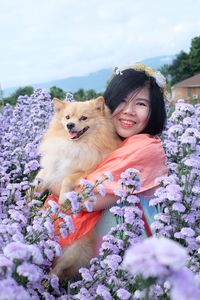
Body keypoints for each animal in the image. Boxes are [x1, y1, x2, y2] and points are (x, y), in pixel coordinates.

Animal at [35, 95, 120, 278]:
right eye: (67, 117)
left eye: (83, 118)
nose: (70, 125)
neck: (75, 145)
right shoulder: (52, 165)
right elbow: (41, 177)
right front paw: (30, 195)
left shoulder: (87, 170)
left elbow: (67, 178)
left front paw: (62, 200)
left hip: (73, 251)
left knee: (58, 269)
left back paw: (49, 279)